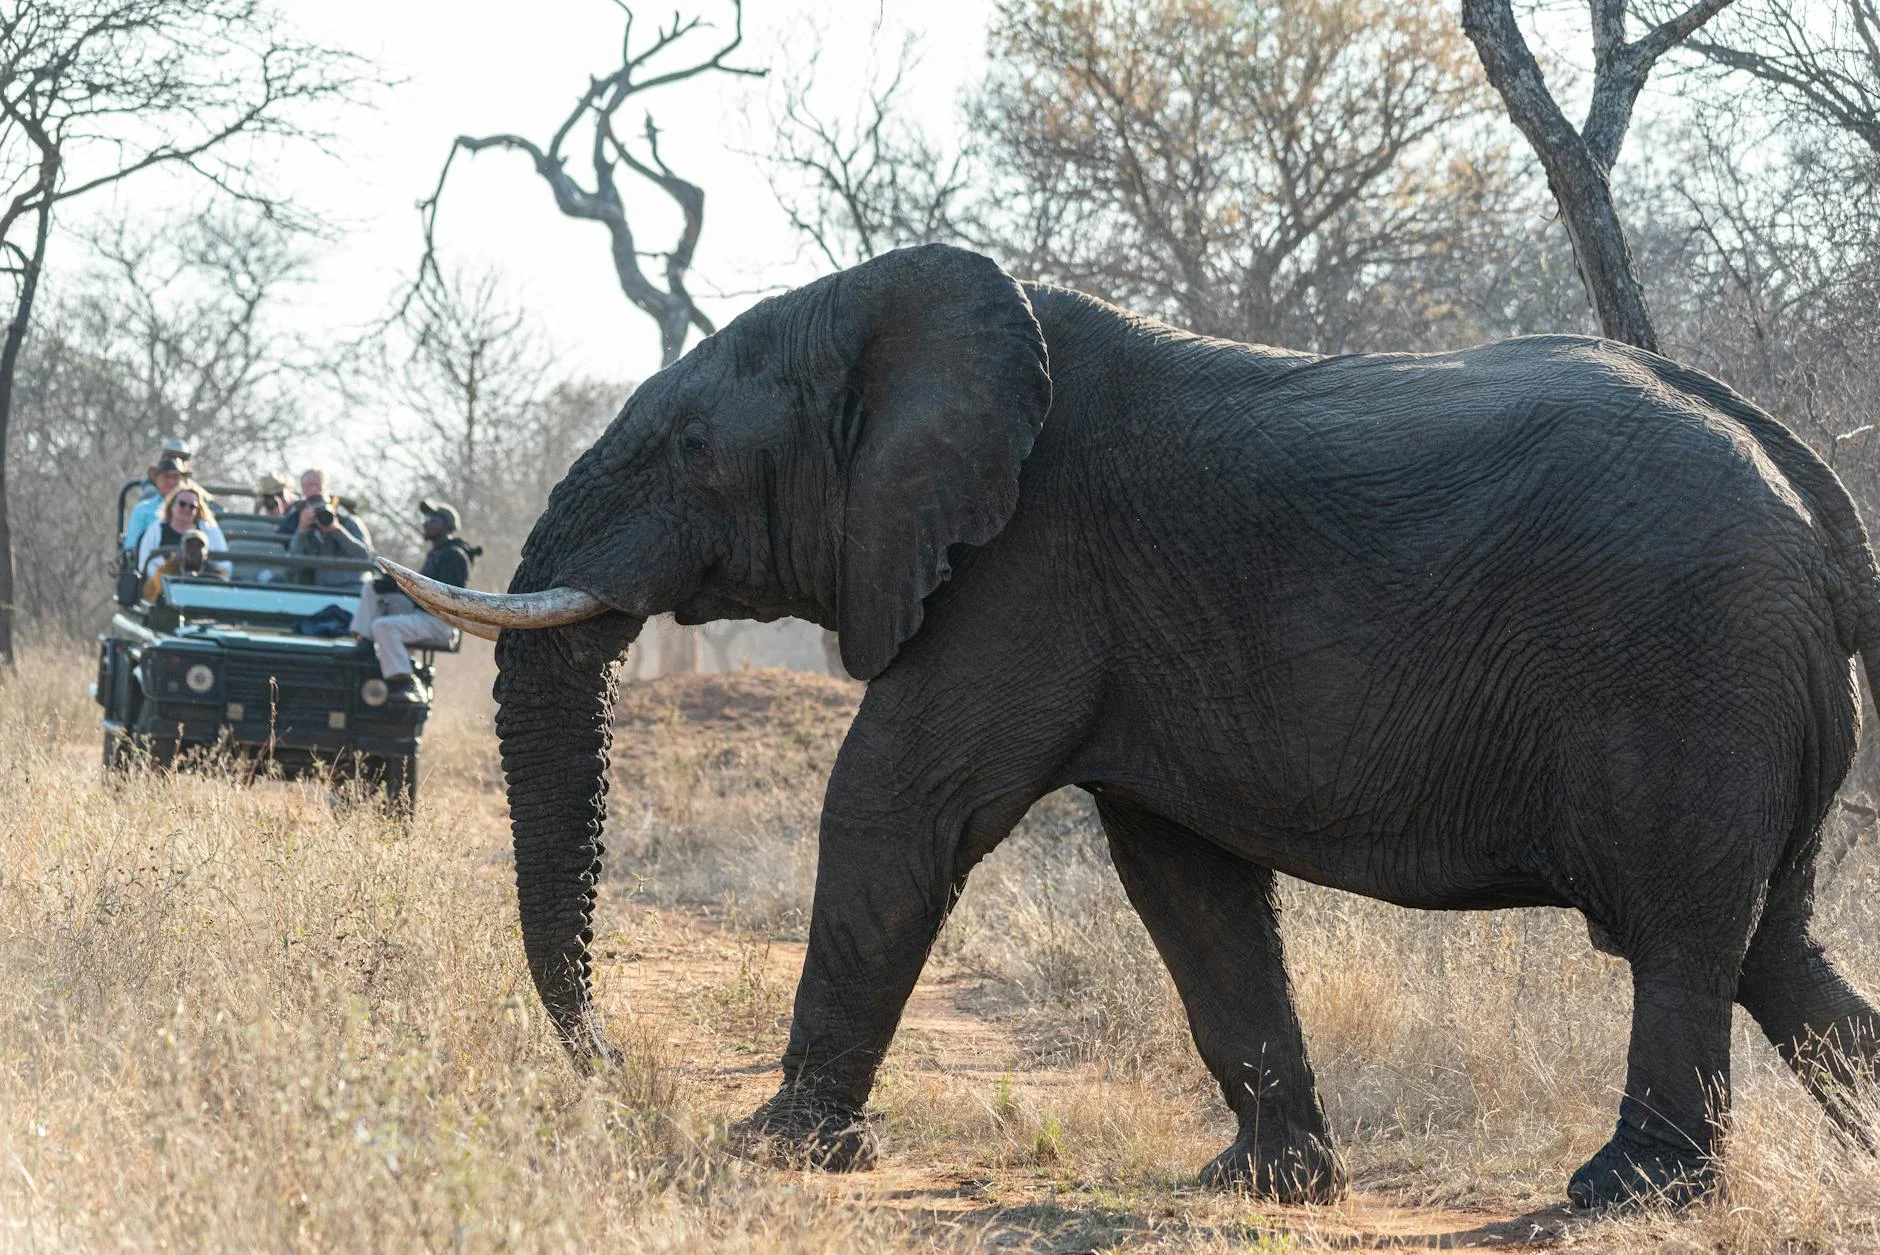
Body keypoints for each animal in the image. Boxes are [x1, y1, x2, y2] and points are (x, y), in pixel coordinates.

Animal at [385, 243, 1880, 1211]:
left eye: (689, 453)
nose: (614, 1065)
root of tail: (1817, 505)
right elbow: (1183, 878)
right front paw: (1267, 1184)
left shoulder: (1020, 571)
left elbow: (892, 808)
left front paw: (774, 1145)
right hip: (1752, 699)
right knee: (1772, 944)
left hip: (1691, 671)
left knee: (1682, 932)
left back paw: (1624, 1193)